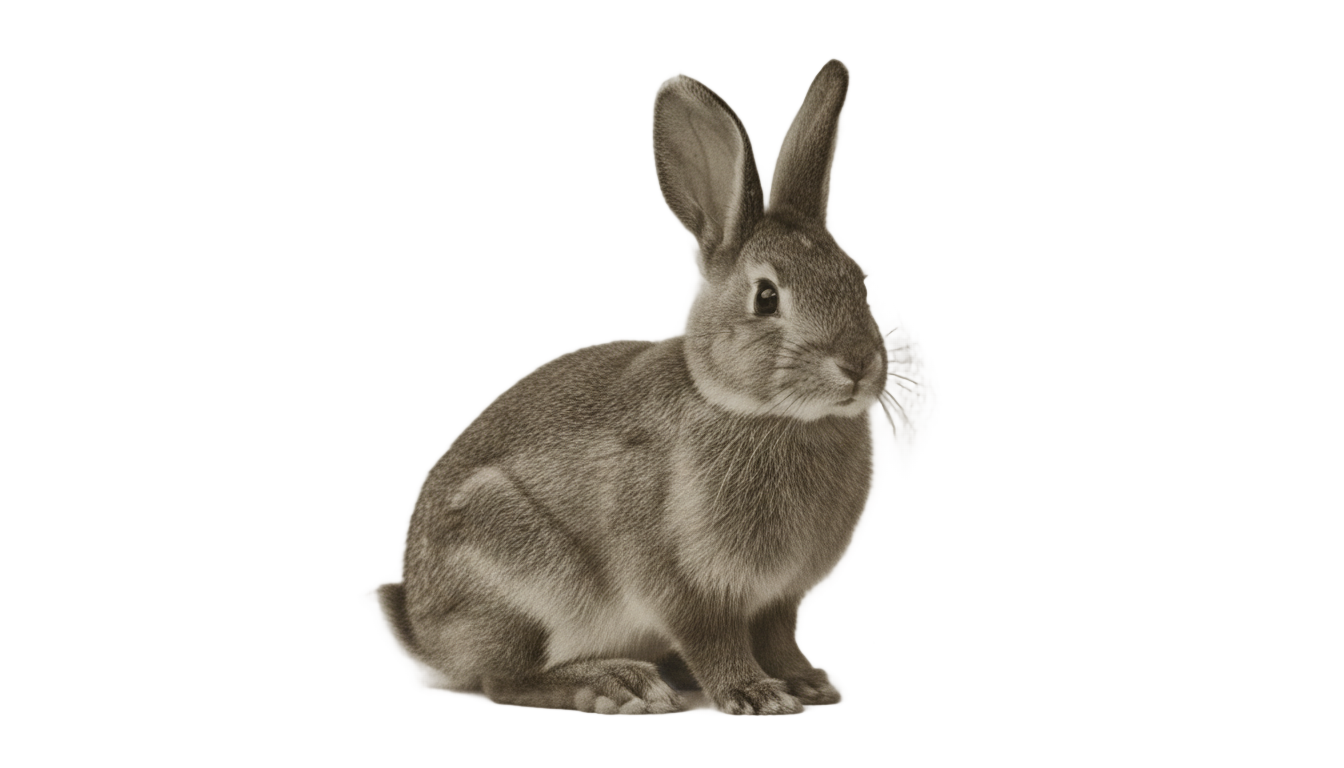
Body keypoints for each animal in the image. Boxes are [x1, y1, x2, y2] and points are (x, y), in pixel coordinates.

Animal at [380, 60, 891, 714]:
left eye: (854, 279)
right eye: (766, 296)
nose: (858, 365)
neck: (762, 412)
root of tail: (426, 633)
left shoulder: (778, 597)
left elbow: (778, 637)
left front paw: (805, 684)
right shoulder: (682, 581)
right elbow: (712, 637)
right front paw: (753, 694)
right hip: (521, 581)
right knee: (502, 680)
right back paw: (613, 683)